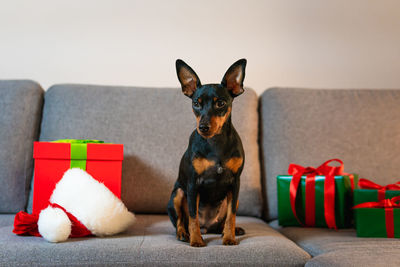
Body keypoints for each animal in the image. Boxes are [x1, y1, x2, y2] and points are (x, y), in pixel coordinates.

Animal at [166, 58, 247, 247]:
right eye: (196, 103)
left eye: (221, 103)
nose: (203, 127)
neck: (215, 143)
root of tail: (207, 227)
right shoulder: (193, 184)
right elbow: (193, 216)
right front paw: (196, 241)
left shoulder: (235, 183)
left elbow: (231, 216)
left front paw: (229, 238)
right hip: (177, 194)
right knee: (181, 221)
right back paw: (184, 234)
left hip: (234, 199)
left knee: (222, 223)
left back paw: (231, 230)